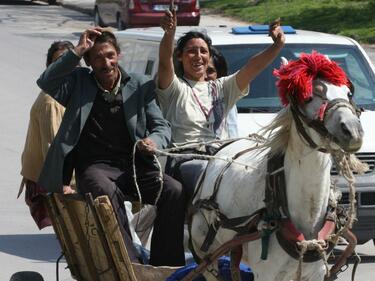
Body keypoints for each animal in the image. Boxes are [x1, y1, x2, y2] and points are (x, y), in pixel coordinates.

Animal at [189, 52, 366, 280]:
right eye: (308, 97)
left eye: (348, 92)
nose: (352, 131)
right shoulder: (267, 274)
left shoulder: (315, 272)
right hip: (205, 251)